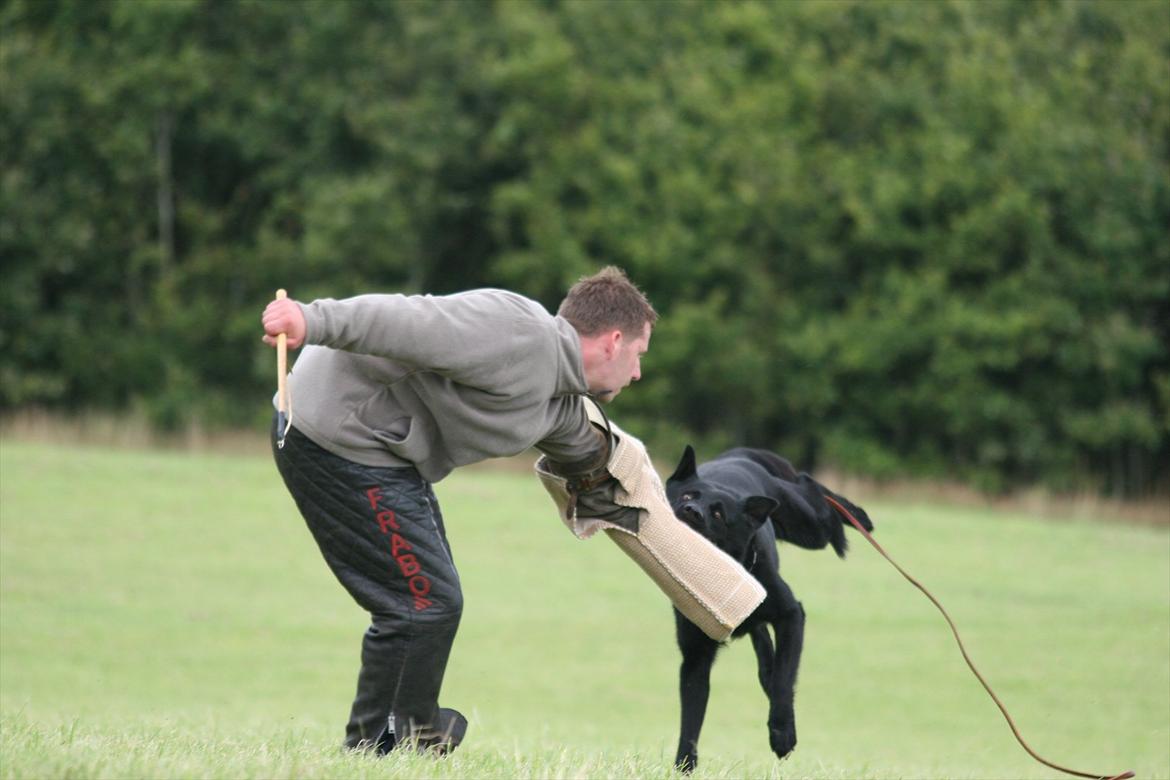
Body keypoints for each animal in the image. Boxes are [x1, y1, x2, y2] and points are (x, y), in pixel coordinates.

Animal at [664, 442, 875, 771]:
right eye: (686, 496)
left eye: (718, 513)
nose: (690, 511)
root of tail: (738, 454)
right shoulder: (696, 655)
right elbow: (691, 721)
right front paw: (684, 767)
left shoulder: (791, 615)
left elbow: (785, 681)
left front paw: (782, 735)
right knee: (761, 644)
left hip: (809, 527)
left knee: (813, 490)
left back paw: (858, 516)